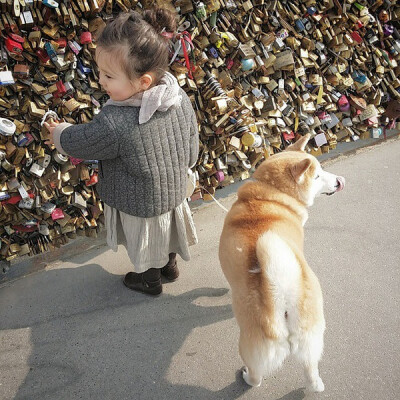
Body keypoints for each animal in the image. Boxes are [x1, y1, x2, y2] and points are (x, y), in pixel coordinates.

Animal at [217, 134, 346, 390]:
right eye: (317, 176)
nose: (339, 181)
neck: (271, 194)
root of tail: (281, 290)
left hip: (251, 344)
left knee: (256, 376)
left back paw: (246, 376)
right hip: (310, 336)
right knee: (312, 372)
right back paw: (314, 386)